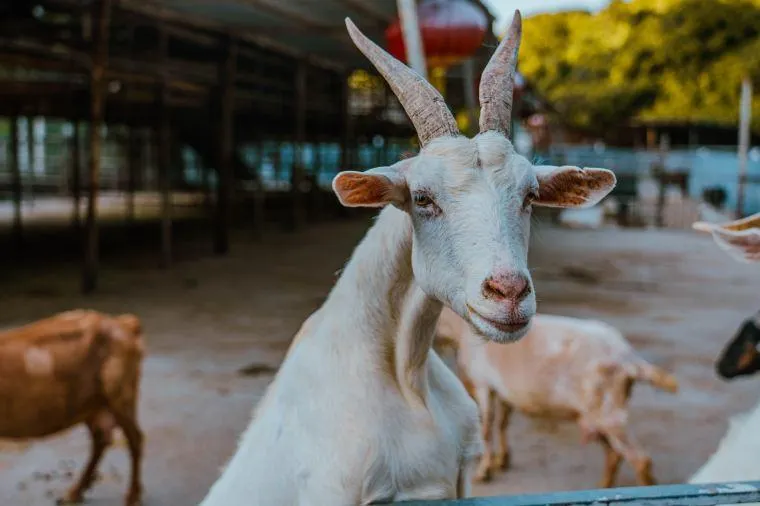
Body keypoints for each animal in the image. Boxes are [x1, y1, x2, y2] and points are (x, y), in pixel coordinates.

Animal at [0, 310, 145, 504]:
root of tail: (126, 324)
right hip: (92, 403)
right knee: (102, 437)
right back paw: (75, 492)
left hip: (121, 393)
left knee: (135, 438)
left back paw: (131, 497)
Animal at [436, 306, 680, 488]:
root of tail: (629, 358)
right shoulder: (503, 390)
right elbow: (503, 423)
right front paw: (502, 461)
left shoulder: (482, 383)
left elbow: (486, 426)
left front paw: (484, 472)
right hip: (597, 414)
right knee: (614, 453)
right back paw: (602, 486)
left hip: (609, 410)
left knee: (640, 459)